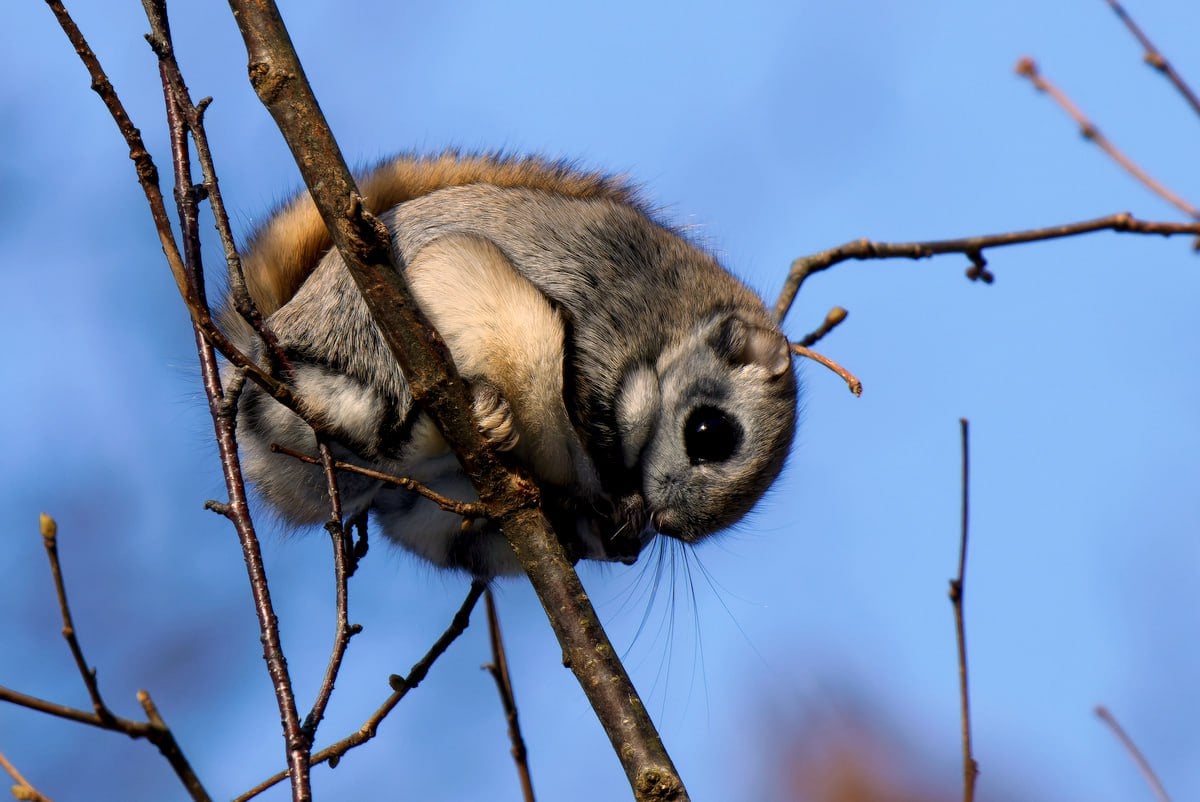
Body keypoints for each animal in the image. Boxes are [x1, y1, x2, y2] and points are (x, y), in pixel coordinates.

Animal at [218, 150, 796, 576]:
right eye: (710, 432)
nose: (669, 525)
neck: (672, 330)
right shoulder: (606, 320)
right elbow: (592, 429)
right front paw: (618, 502)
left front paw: (621, 527)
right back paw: (485, 412)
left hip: (437, 523)